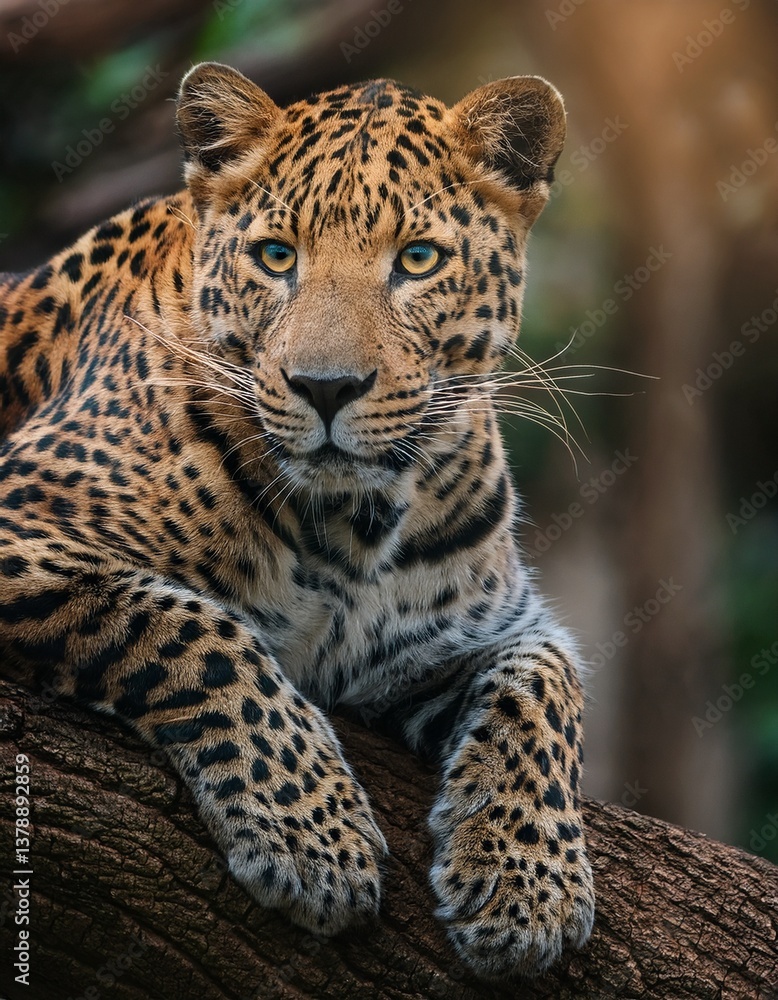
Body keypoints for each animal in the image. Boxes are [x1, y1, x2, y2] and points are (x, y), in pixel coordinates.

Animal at [0, 62, 595, 979]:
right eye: (276, 256)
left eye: (417, 260)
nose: (325, 387)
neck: (356, 523)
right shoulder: (25, 517)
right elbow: (196, 627)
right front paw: (314, 841)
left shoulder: (476, 630)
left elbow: (548, 685)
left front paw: (530, 886)